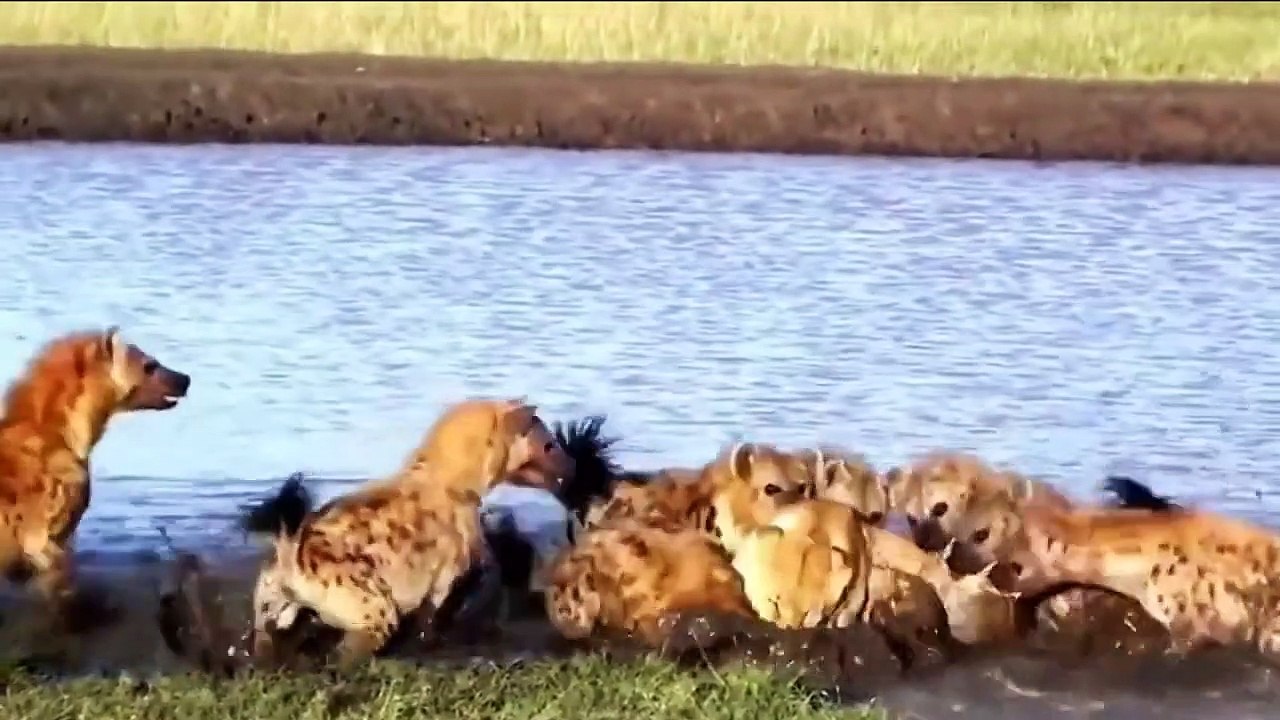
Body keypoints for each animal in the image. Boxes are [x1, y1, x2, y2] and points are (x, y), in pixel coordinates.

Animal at [242, 397, 574, 669]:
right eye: (549, 444)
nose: (572, 464)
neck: (452, 480)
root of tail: (291, 556)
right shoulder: (444, 576)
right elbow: (433, 615)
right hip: (374, 608)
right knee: (353, 646)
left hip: (269, 603)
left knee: (264, 637)